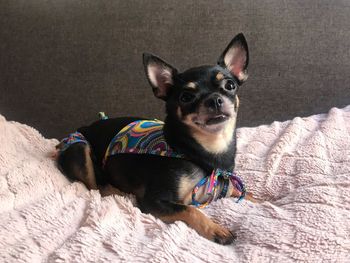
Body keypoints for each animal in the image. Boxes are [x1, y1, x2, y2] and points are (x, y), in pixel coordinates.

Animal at [56, 32, 249, 245]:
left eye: (230, 85)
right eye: (186, 97)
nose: (215, 100)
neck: (206, 151)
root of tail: (83, 127)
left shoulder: (227, 187)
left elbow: (249, 195)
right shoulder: (154, 201)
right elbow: (190, 210)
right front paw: (216, 229)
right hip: (80, 148)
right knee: (95, 188)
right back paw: (117, 192)